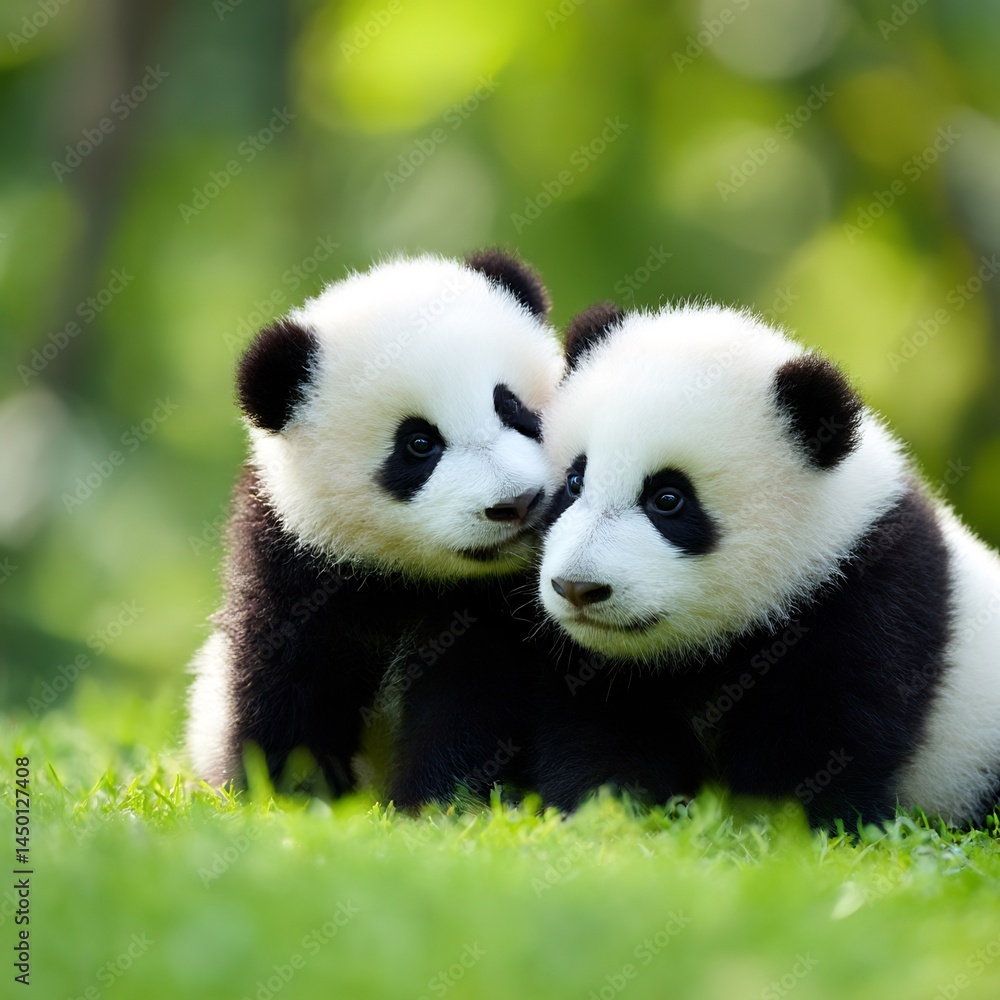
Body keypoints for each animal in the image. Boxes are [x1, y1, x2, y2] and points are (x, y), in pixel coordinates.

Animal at [186, 249, 563, 807]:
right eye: (419, 444)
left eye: (513, 408)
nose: (517, 503)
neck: (407, 576)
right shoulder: (294, 560)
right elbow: (289, 686)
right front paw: (297, 798)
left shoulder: (497, 607)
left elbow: (473, 699)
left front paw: (434, 803)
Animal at [533, 300, 1000, 827]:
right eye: (574, 482)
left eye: (668, 499)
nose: (578, 587)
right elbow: (603, 726)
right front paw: (609, 810)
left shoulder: (866, 592)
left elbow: (824, 731)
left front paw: (776, 825)